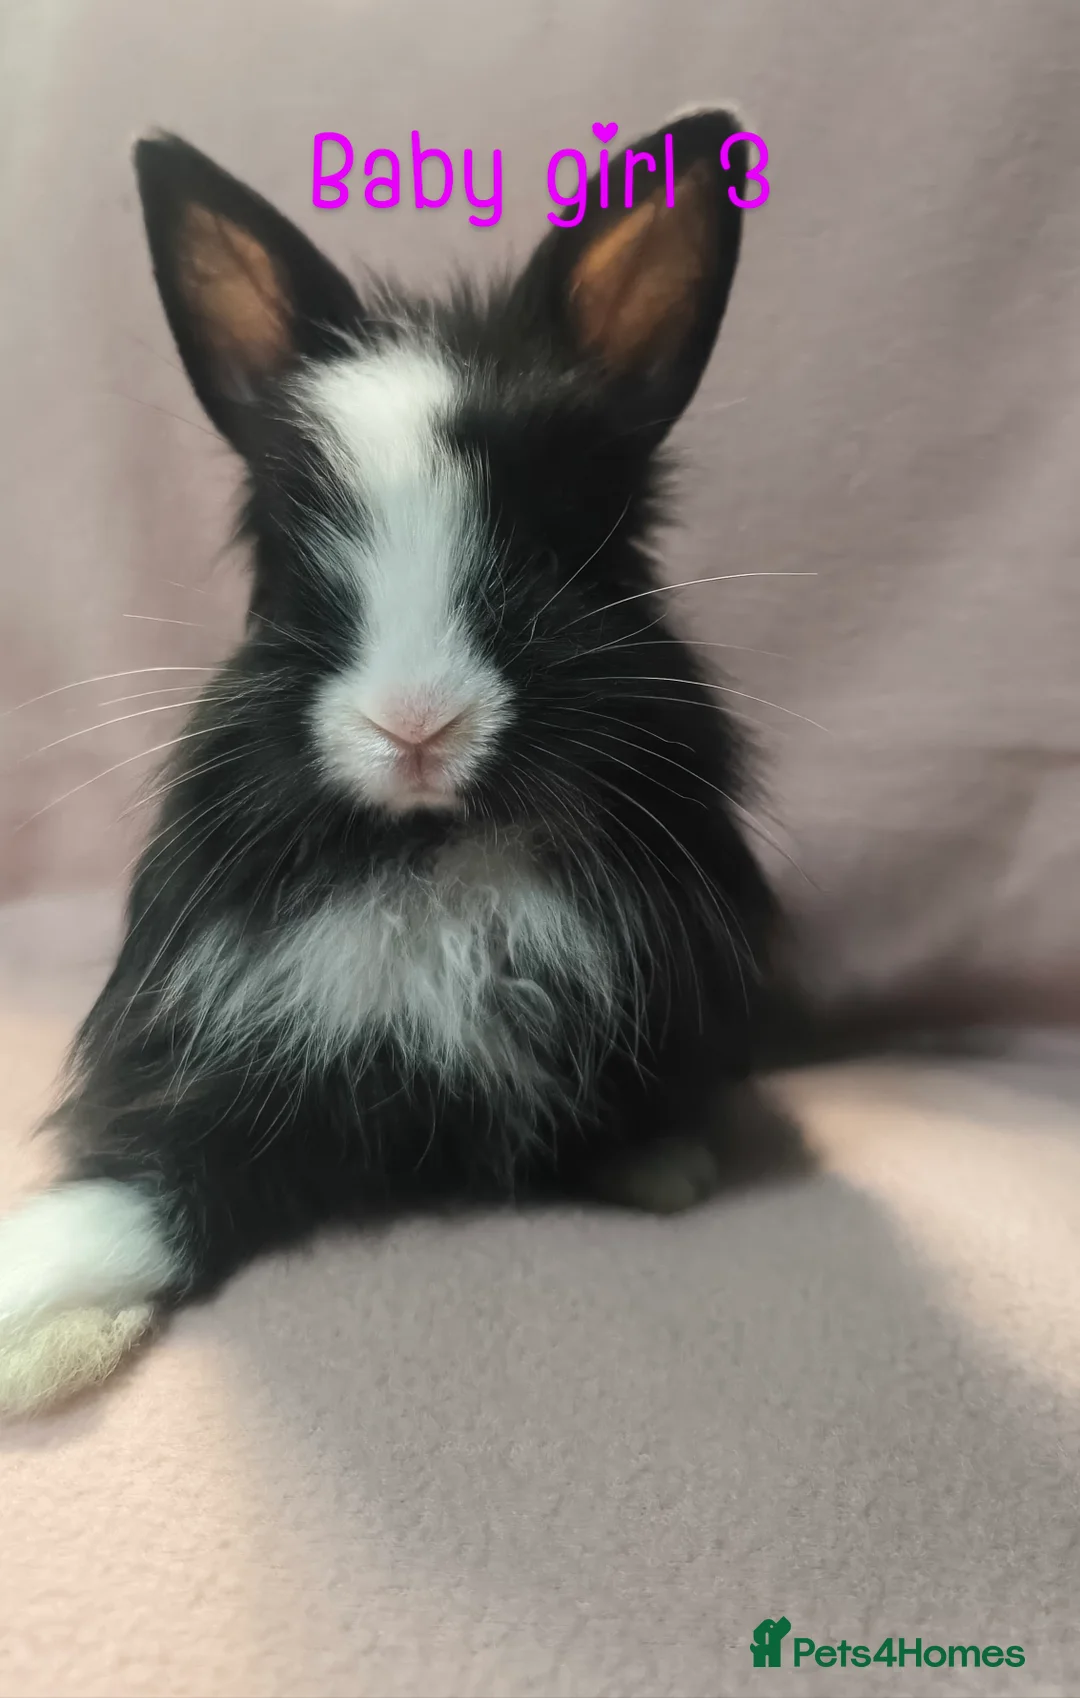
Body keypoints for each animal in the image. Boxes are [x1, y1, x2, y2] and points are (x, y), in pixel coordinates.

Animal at [0, 108, 780, 1414]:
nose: (416, 725)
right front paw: (35, 1320)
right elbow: (149, 1190)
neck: (434, 857)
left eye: (556, 536)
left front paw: (662, 1165)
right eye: (291, 545)